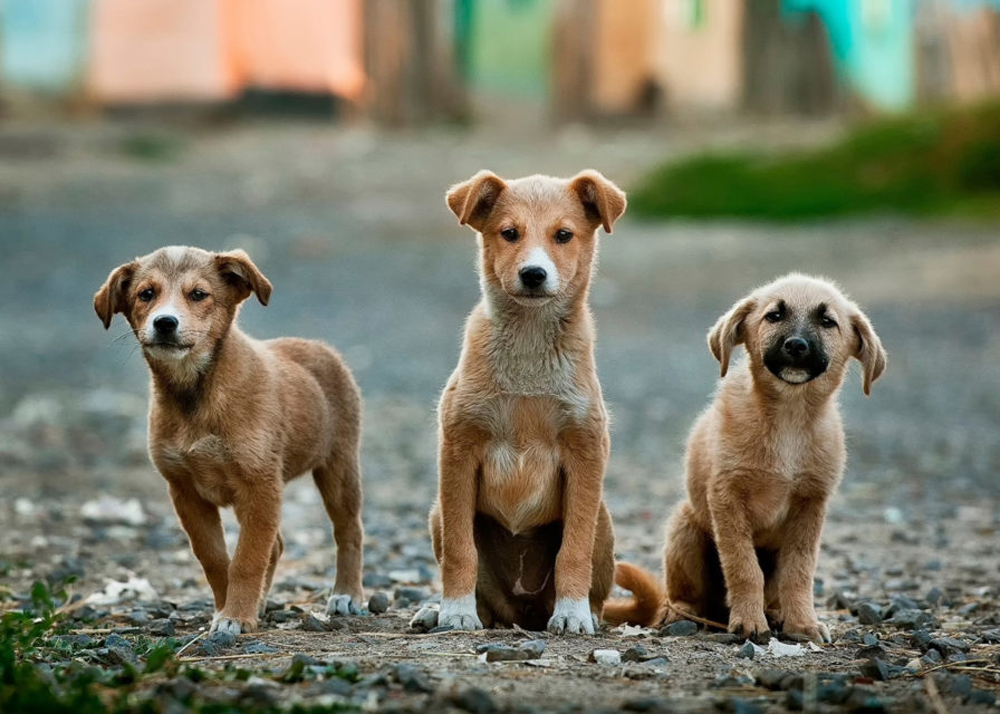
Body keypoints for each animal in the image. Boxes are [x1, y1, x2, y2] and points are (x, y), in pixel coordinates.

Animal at [92, 246, 366, 636]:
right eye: (146, 294)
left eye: (198, 294)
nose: (165, 323)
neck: (196, 395)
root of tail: (319, 347)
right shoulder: (185, 491)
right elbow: (216, 559)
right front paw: (229, 609)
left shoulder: (260, 485)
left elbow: (247, 559)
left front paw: (236, 615)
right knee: (277, 545)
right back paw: (262, 603)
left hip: (338, 467)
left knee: (349, 531)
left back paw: (346, 594)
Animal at [604, 272, 888, 640]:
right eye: (774, 315)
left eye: (828, 322)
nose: (796, 345)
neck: (789, 418)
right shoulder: (727, 497)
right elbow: (743, 566)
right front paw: (750, 622)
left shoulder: (811, 504)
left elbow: (799, 572)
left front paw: (803, 623)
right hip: (685, 526)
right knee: (682, 595)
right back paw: (681, 613)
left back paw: (776, 613)